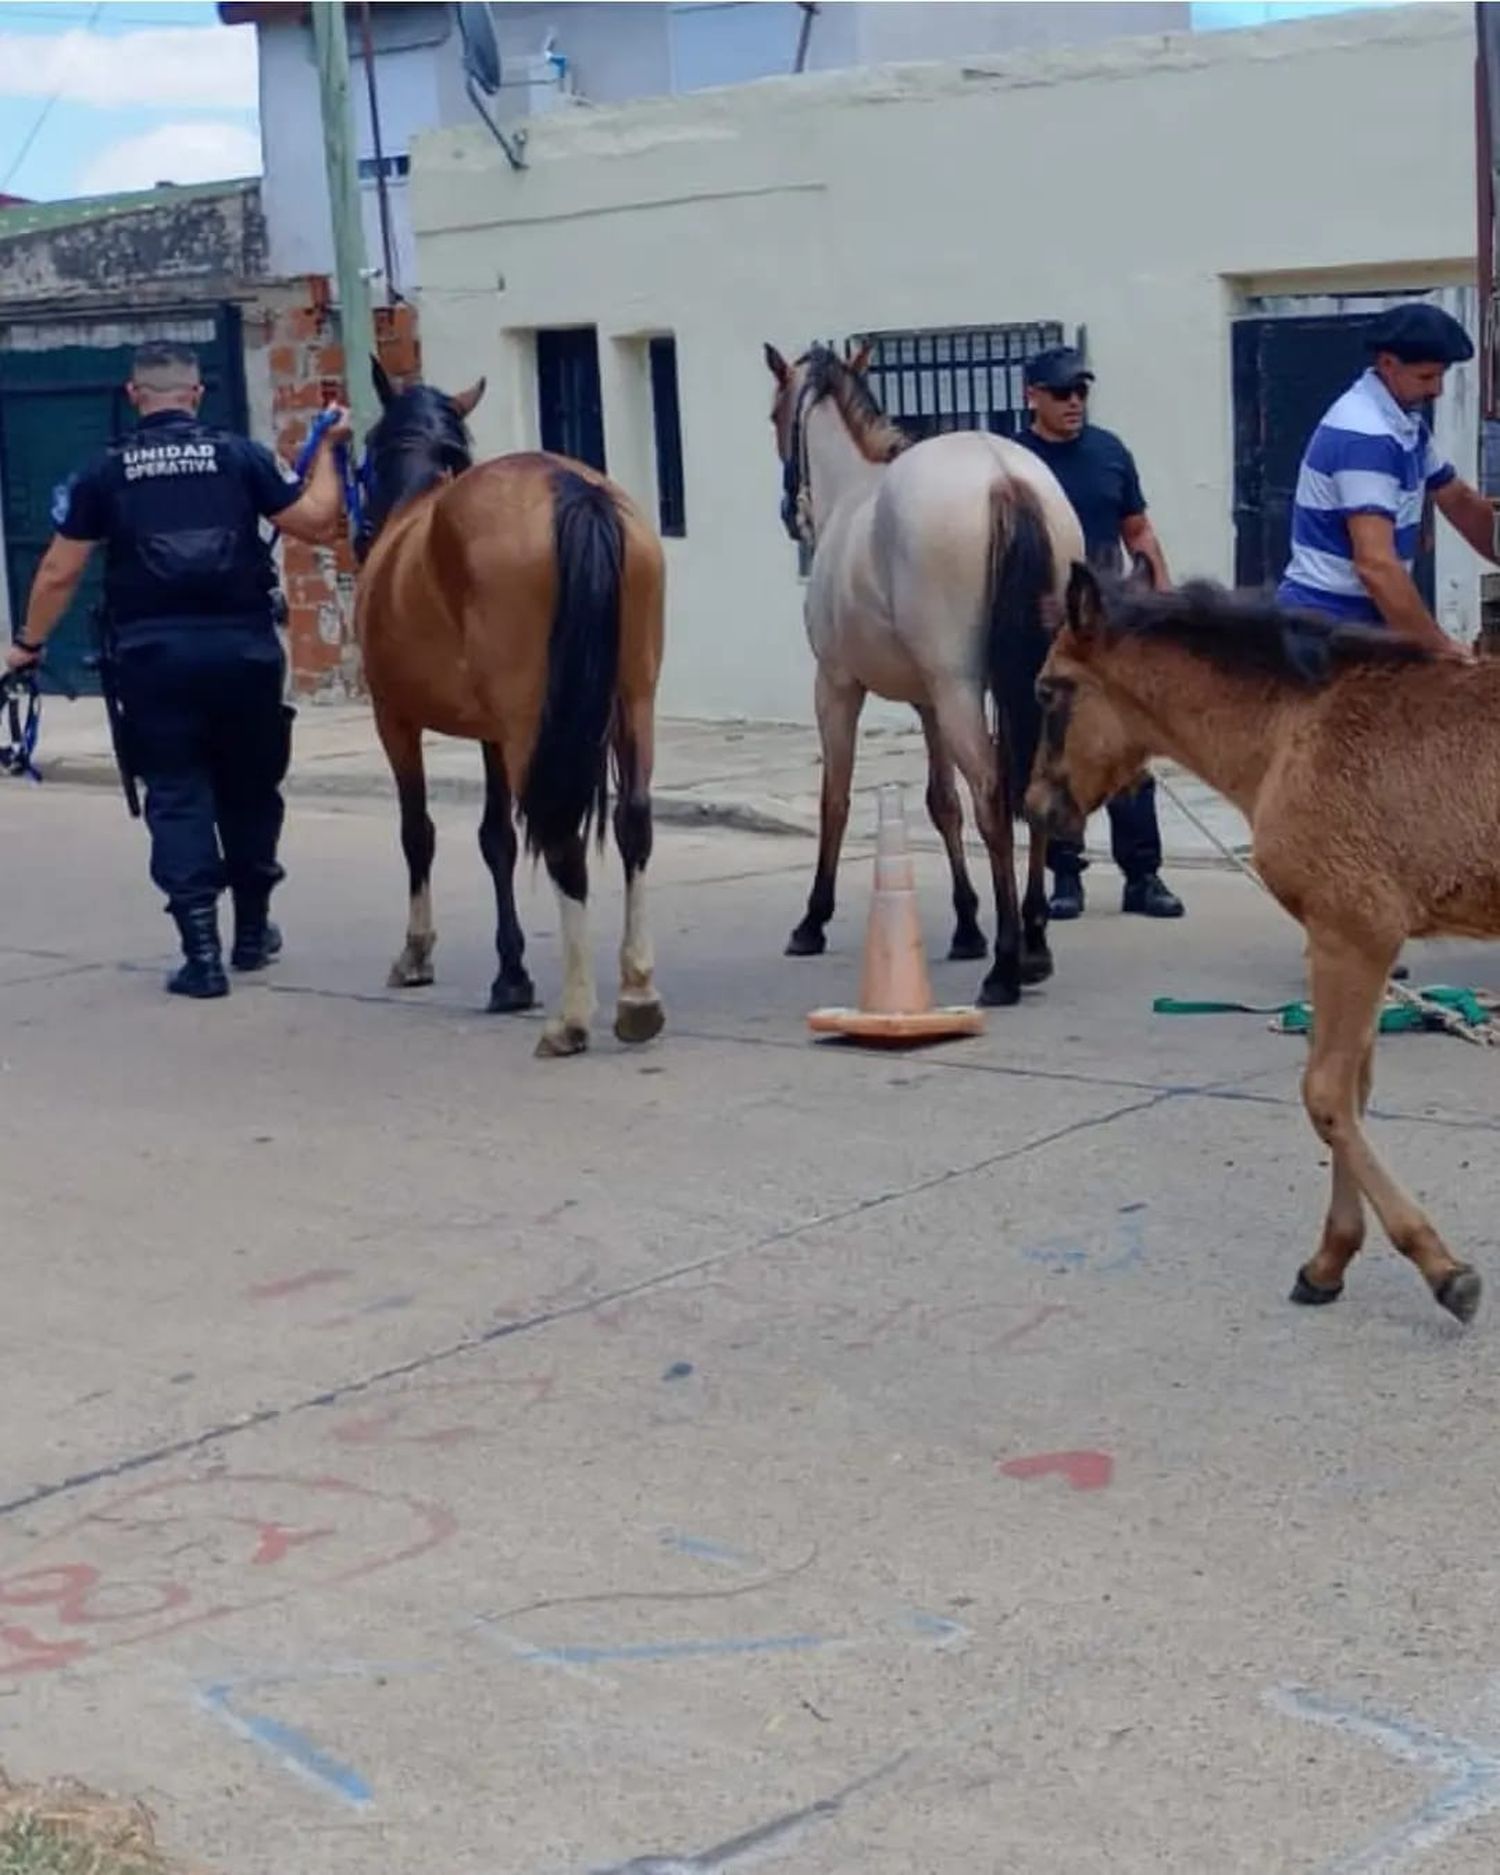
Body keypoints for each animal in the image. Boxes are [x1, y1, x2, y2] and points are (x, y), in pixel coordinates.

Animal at [354, 365, 663, 1065]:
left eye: (365, 449)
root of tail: (574, 491)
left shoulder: (395, 719)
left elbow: (419, 832)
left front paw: (417, 954)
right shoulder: (492, 735)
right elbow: (496, 838)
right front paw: (511, 974)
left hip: (530, 725)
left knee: (562, 839)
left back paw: (571, 1019)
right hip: (633, 702)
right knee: (633, 822)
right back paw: (637, 994)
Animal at [768, 343, 1087, 1005]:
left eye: (774, 414)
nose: (790, 513)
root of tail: (1002, 475)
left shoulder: (836, 686)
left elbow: (835, 798)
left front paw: (813, 918)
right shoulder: (928, 703)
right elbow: (942, 804)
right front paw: (967, 926)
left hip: (958, 689)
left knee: (992, 796)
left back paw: (1007, 965)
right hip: (1010, 689)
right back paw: (1034, 943)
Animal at [1035, 562, 1485, 1327]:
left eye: (1047, 689)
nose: (1035, 809)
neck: (1296, 729)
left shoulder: (1352, 932)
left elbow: (1328, 1094)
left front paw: (1443, 1271)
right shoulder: (1351, 941)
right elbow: (1352, 1092)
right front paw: (1328, 1263)